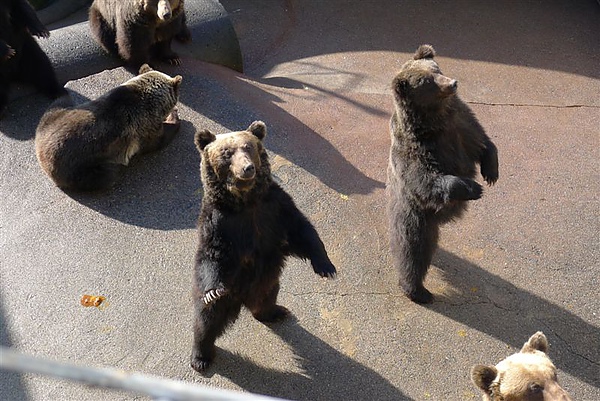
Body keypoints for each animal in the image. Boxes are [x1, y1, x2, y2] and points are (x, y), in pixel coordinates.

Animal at [386, 44, 500, 304]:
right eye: (427, 82)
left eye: (437, 69)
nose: (453, 83)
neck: (435, 119)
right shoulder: (416, 149)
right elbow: (426, 179)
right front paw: (472, 188)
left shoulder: (462, 123)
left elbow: (483, 141)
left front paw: (491, 172)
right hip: (415, 215)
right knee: (413, 250)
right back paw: (417, 291)